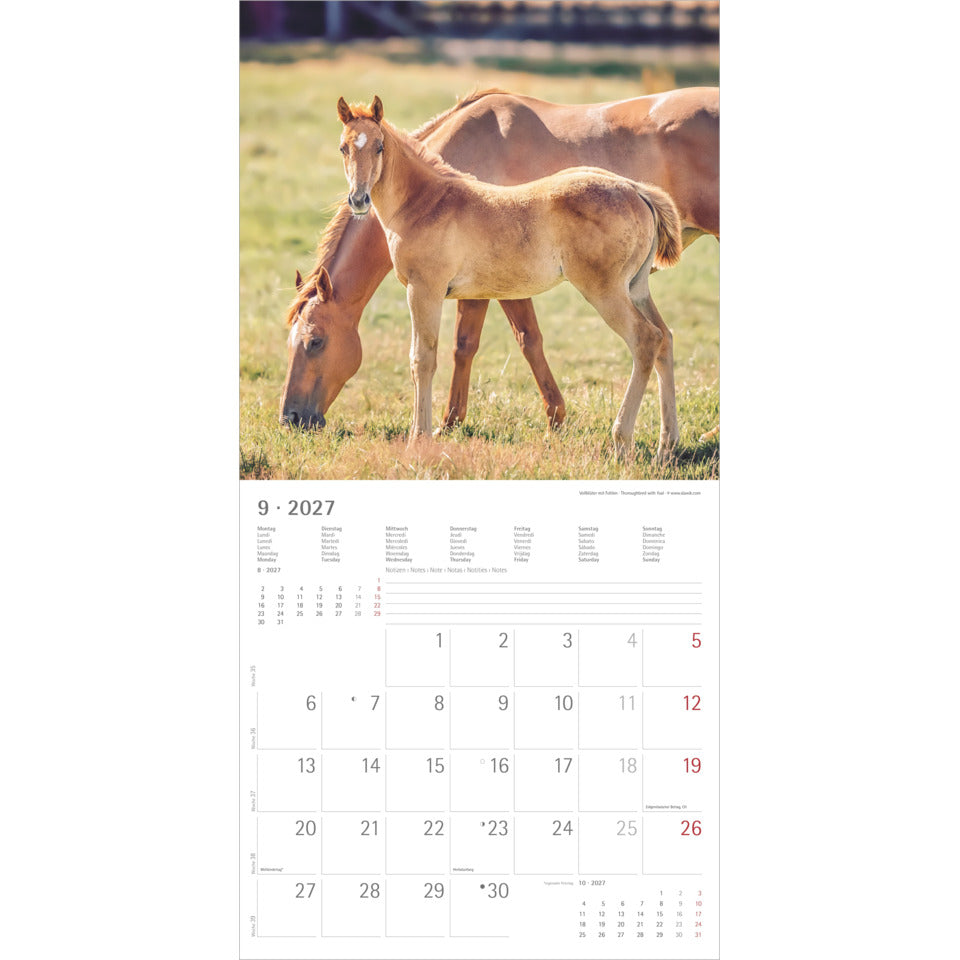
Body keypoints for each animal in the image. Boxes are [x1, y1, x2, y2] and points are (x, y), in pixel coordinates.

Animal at [280, 86, 718, 434]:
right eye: (342, 147)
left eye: (316, 342)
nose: (292, 419)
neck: (428, 201)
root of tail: (636, 190)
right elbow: (478, 346)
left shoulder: (427, 291)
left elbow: (428, 357)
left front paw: (423, 435)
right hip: (637, 287)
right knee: (664, 339)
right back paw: (667, 443)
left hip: (606, 291)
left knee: (645, 340)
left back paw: (623, 440)